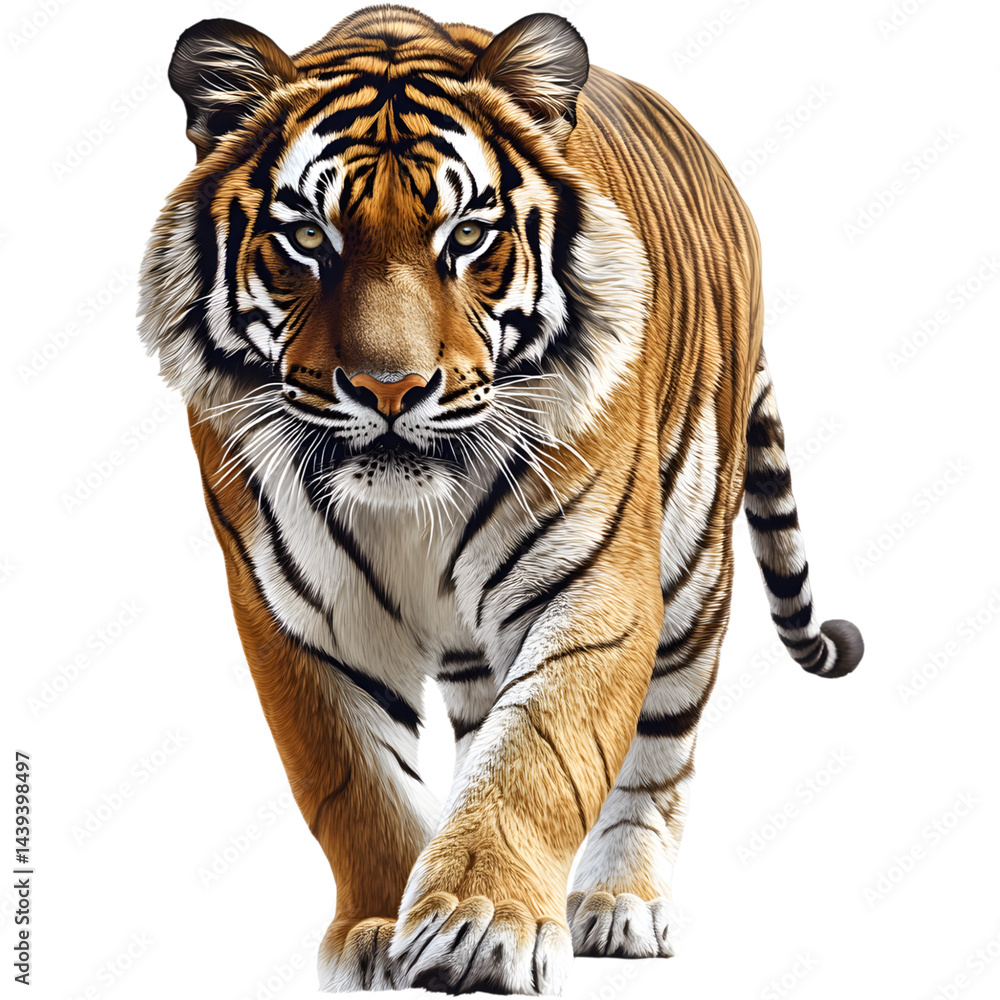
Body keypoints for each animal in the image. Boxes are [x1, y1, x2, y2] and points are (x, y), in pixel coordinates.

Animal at [138, 5, 864, 994]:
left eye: (466, 238)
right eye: (310, 240)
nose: (390, 388)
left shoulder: (594, 587)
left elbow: (539, 753)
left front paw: (479, 925)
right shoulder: (301, 611)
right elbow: (353, 781)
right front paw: (381, 926)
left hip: (697, 575)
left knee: (658, 750)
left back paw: (620, 904)